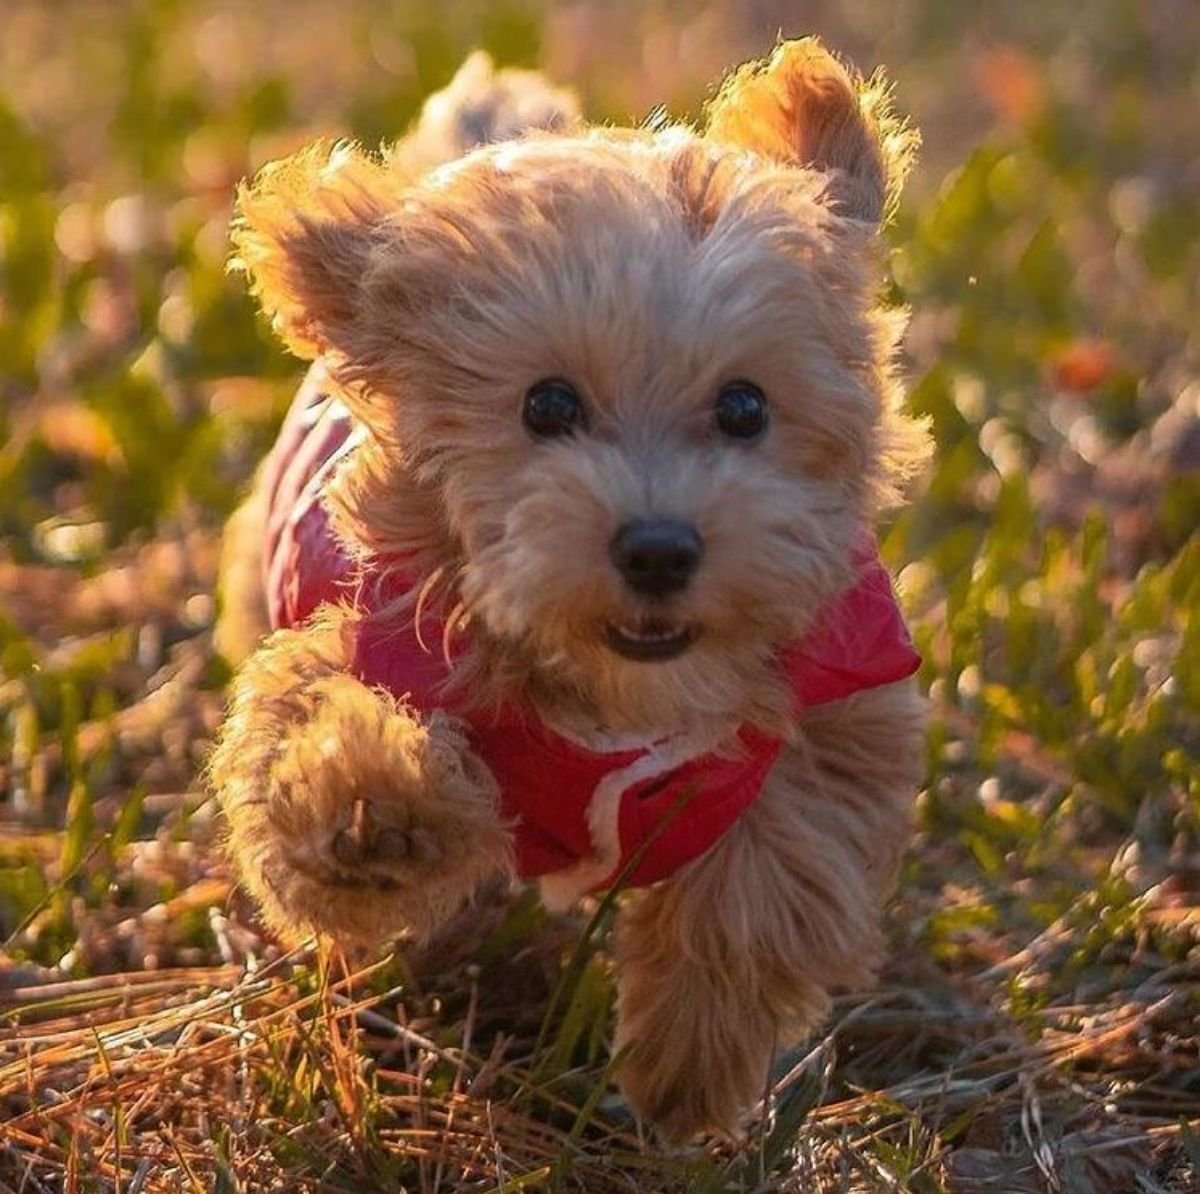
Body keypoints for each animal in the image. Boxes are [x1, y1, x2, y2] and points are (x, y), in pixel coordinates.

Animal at [211, 42, 931, 1142]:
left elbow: (769, 884)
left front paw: (686, 1074)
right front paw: (374, 812)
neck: (615, 700)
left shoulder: (834, 705)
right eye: (545, 405)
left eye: (745, 407)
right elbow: (317, 721)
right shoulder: (369, 630)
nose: (659, 549)